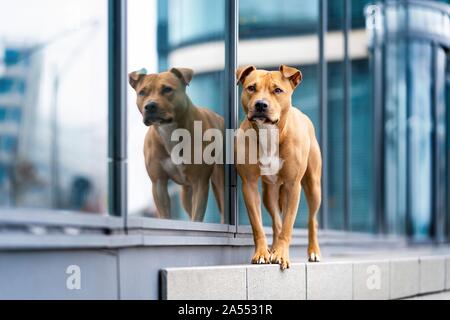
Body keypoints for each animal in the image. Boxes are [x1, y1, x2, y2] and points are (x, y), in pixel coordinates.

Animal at [129, 67, 224, 222]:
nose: (150, 106)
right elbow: (165, 214)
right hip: (186, 193)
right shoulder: (159, 184)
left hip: (220, 180)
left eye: (167, 89)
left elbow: (197, 216)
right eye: (142, 92)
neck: (169, 130)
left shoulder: (200, 183)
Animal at [237, 65, 322, 270]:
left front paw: (282, 255)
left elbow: (288, 225)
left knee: (312, 220)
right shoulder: (249, 185)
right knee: (276, 222)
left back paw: (313, 251)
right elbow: (259, 225)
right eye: (251, 87)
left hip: (314, 186)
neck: (269, 134)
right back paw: (272, 249)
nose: (261, 105)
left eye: (277, 90)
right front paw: (262, 253)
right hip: (269, 192)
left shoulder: (293, 186)